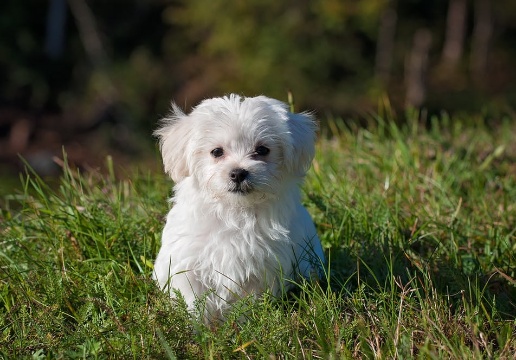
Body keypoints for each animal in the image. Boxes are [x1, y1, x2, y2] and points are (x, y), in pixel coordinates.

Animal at [151, 94, 324, 320]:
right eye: (216, 152)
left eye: (262, 150)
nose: (238, 173)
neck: (234, 211)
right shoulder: (188, 263)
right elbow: (193, 299)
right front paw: (197, 325)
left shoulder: (262, 268)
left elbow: (249, 302)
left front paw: (245, 323)